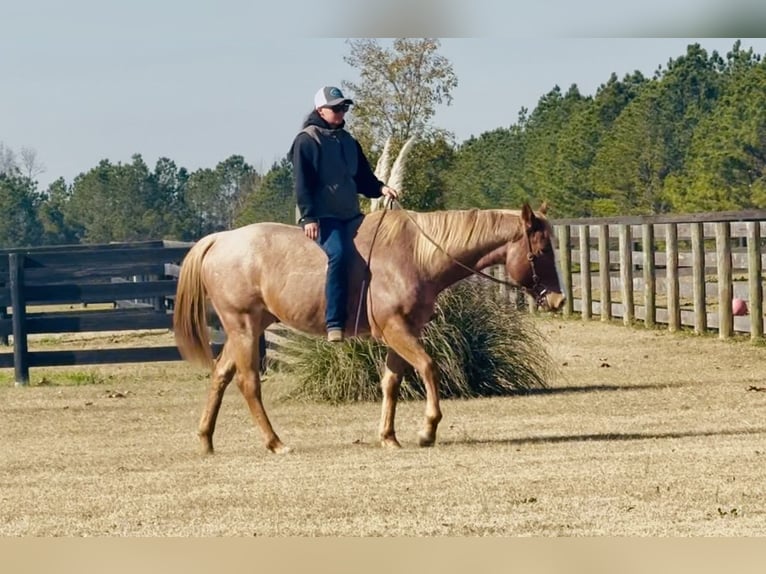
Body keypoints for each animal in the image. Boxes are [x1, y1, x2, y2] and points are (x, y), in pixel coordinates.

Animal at [173, 203, 565, 455]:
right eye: (542, 250)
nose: (559, 299)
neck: (415, 254)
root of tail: (219, 240)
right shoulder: (397, 330)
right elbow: (428, 367)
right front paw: (427, 430)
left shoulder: (402, 333)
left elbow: (391, 382)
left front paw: (389, 436)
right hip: (243, 326)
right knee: (247, 382)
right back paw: (275, 442)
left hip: (246, 329)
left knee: (220, 375)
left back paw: (206, 439)